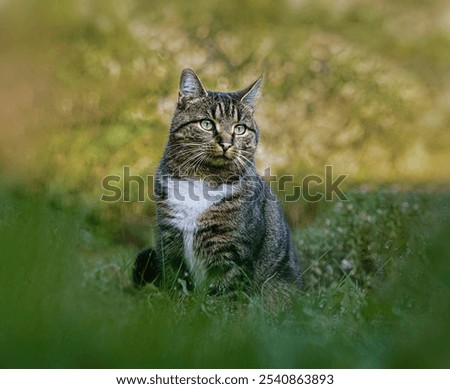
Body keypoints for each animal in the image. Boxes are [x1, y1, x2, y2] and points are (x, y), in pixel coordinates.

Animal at [134, 67, 302, 298]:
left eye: (240, 128)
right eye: (206, 124)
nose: (226, 143)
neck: (203, 178)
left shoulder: (232, 251)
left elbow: (222, 294)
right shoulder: (169, 240)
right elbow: (176, 287)